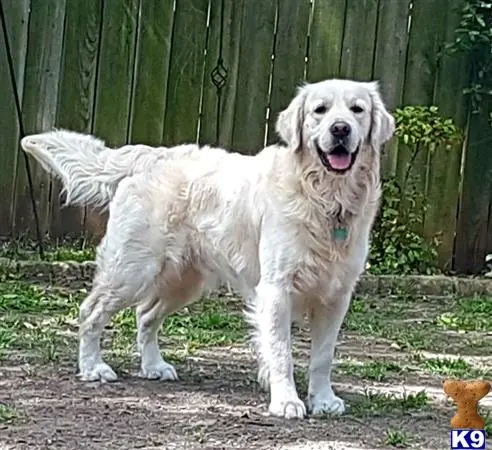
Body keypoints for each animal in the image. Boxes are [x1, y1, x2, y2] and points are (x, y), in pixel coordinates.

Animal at [21, 77, 394, 418]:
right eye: (320, 110)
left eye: (357, 110)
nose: (341, 129)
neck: (325, 199)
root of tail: (148, 155)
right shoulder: (276, 289)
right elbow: (281, 352)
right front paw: (286, 401)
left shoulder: (336, 295)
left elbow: (322, 356)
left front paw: (324, 400)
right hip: (132, 269)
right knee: (92, 311)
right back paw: (93, 368)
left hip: (184, 280)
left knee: (145, 315)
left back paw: (154, 366)